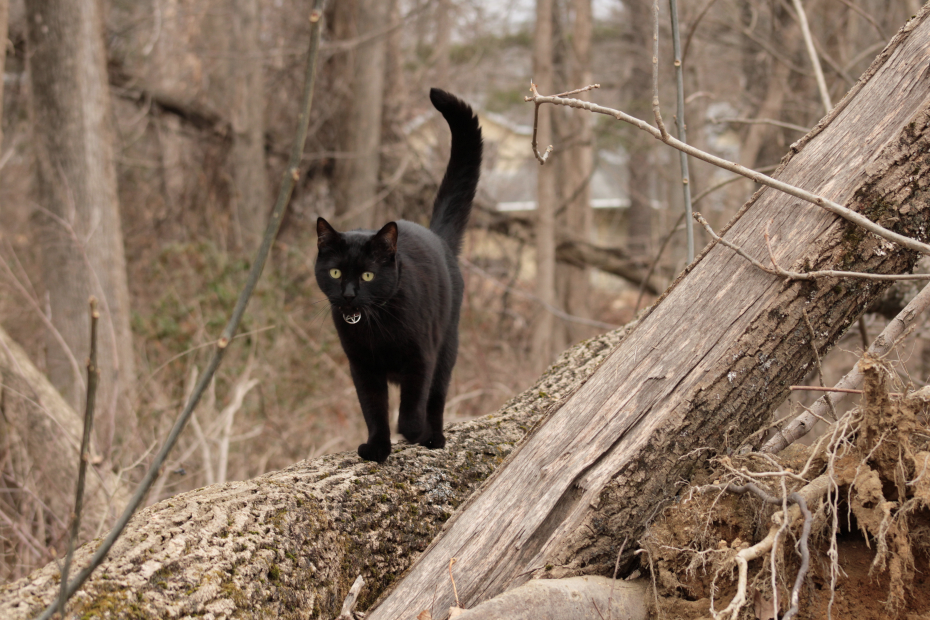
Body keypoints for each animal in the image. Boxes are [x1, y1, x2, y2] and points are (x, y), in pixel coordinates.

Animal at [316, 89, 482, 462]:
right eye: (335, 272)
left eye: (367, 275)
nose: (348, 294)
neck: (374, 326)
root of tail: (437, 237)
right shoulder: (362, 367)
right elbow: (373, 409)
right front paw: (377, 447)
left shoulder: (421, 357)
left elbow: (411, 406)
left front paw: (414, 433)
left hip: (448, 345)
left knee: (437, 397)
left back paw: (434, 437)